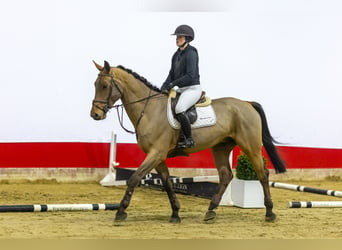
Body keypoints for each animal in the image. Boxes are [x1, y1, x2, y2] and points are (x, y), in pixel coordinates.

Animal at [91, 61, 286, 225]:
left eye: (104, 86)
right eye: (95, 85)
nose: (95, 115)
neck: (149, 110)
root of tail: (247, 103)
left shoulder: (156, 153)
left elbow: (134, 178)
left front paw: (120, 212)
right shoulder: (159, 157)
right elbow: (167, 183)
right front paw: (175, 213)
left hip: (251, 147)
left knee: (262, 174)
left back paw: (269, 213)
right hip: (221, 148)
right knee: (225, 176)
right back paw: (210, 211)